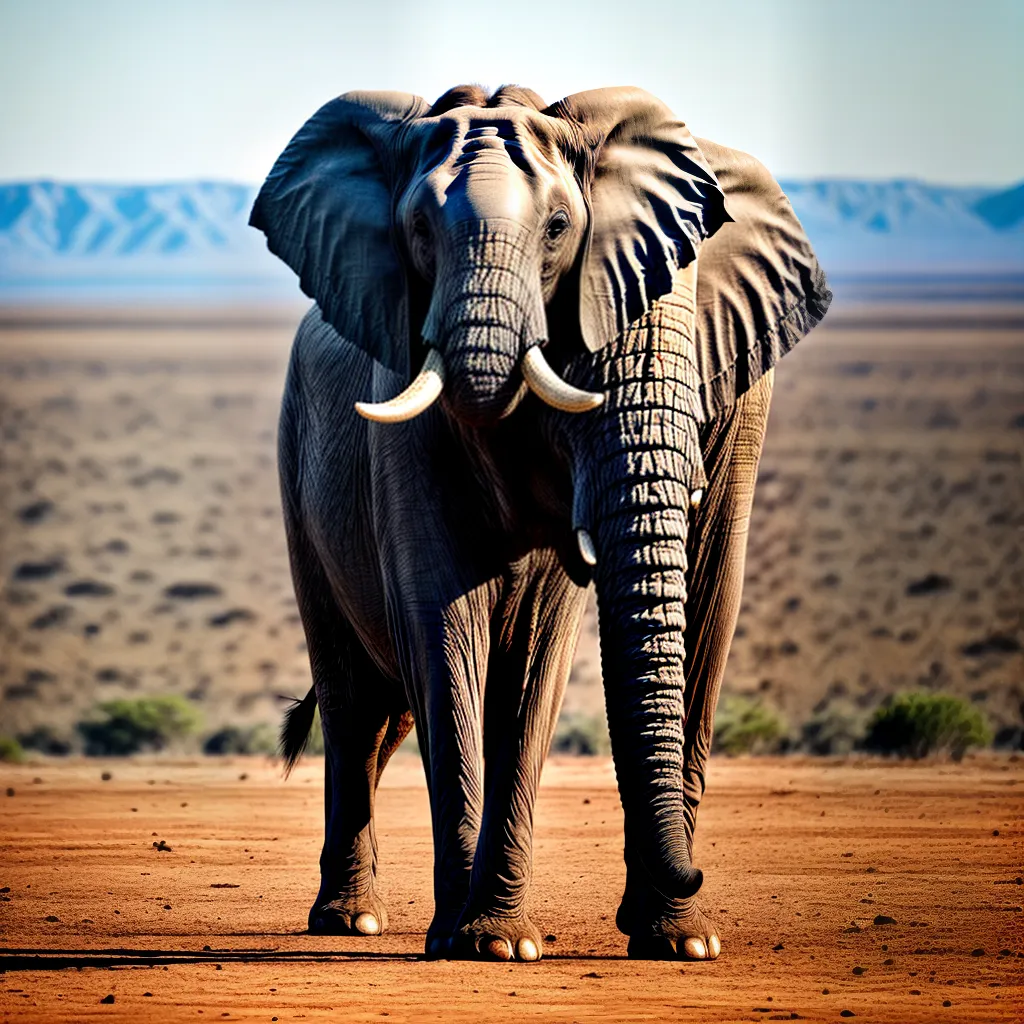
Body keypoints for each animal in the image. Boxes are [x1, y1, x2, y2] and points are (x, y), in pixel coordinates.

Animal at [250, 83, 830, 962]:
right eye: (418, 231)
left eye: (559, 228)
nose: (692, 873)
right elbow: (443, 618)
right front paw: (482, 944)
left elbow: (570, 646)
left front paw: (677, 942)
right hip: (294, 456)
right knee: (353, 701)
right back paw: (350, 920)